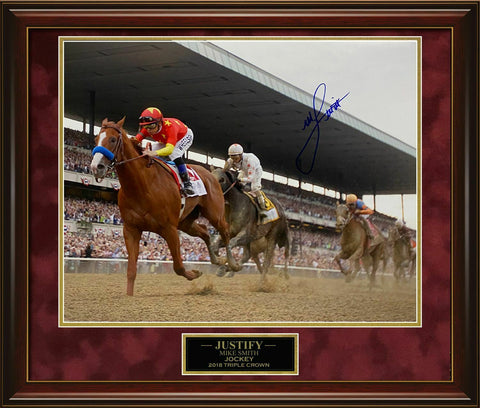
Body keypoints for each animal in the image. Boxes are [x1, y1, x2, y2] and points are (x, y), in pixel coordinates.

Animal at [89, 116, 238, 294]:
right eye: (96, 139)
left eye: (112, 139)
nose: (95, 167)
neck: (142, 185)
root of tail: (211, 175)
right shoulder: (131, 229)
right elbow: (131, 270)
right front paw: (129, 296)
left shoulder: (169, 229)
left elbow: (178, 267)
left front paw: (194, 273)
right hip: (185, 222)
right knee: (204, 232)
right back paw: (217, 260)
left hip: (214, 214)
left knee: (225, 231)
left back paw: (232, 263)